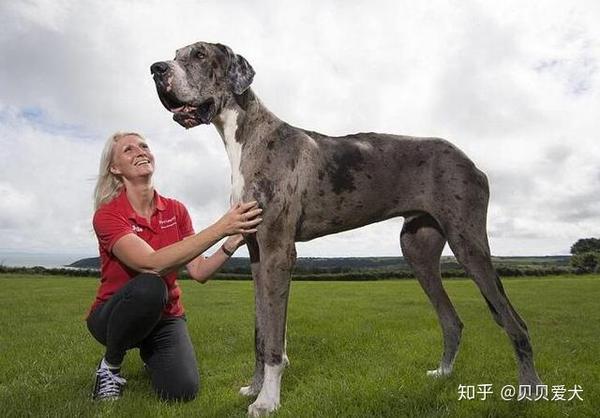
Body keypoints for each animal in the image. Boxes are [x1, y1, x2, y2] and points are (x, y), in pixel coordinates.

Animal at [151, 41, 544, 414]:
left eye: (200, 54)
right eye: (175, 54)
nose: (156, 68)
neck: (246, 135)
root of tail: (471, 161)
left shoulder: (279, 251)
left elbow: (275, 340)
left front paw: (268, 401)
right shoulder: (257, 253)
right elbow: (260, 334)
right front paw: (254, 387)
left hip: (468, 243)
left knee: (515, 323)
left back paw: (528, 391)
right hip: (416, 249)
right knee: (452, 320)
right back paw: (443, 374)